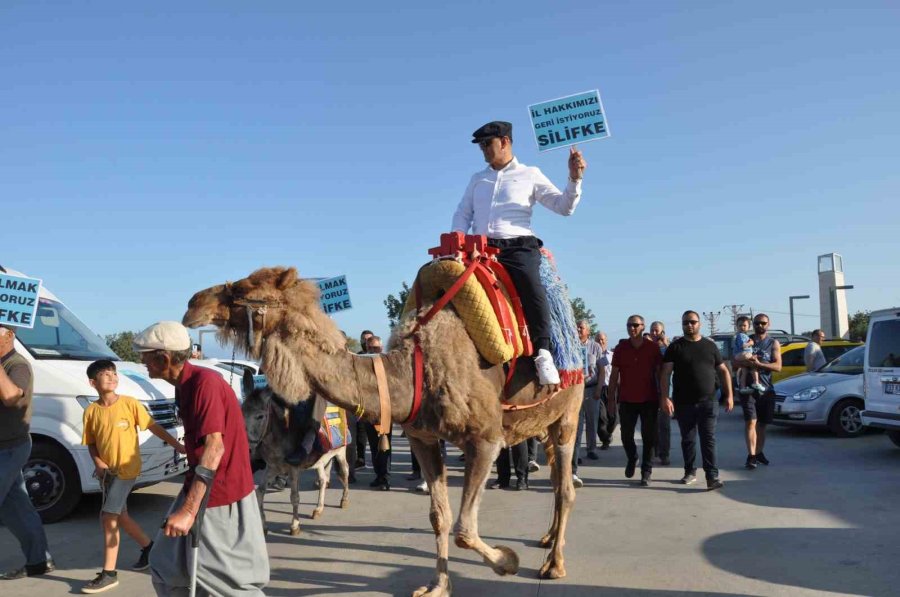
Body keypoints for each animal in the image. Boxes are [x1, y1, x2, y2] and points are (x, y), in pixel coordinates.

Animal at [243, 384, 352, 536]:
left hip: (341, 452)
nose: (247, 448)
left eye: (260, 416)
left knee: (345, 472)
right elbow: (260, 493)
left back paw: (344, 499)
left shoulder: (293, 469)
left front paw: (295, 525)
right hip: (320, 461)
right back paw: (318, 509)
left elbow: (294, 497)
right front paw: (263, 527)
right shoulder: (273, 468)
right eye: (242, 413)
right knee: (323, 480)